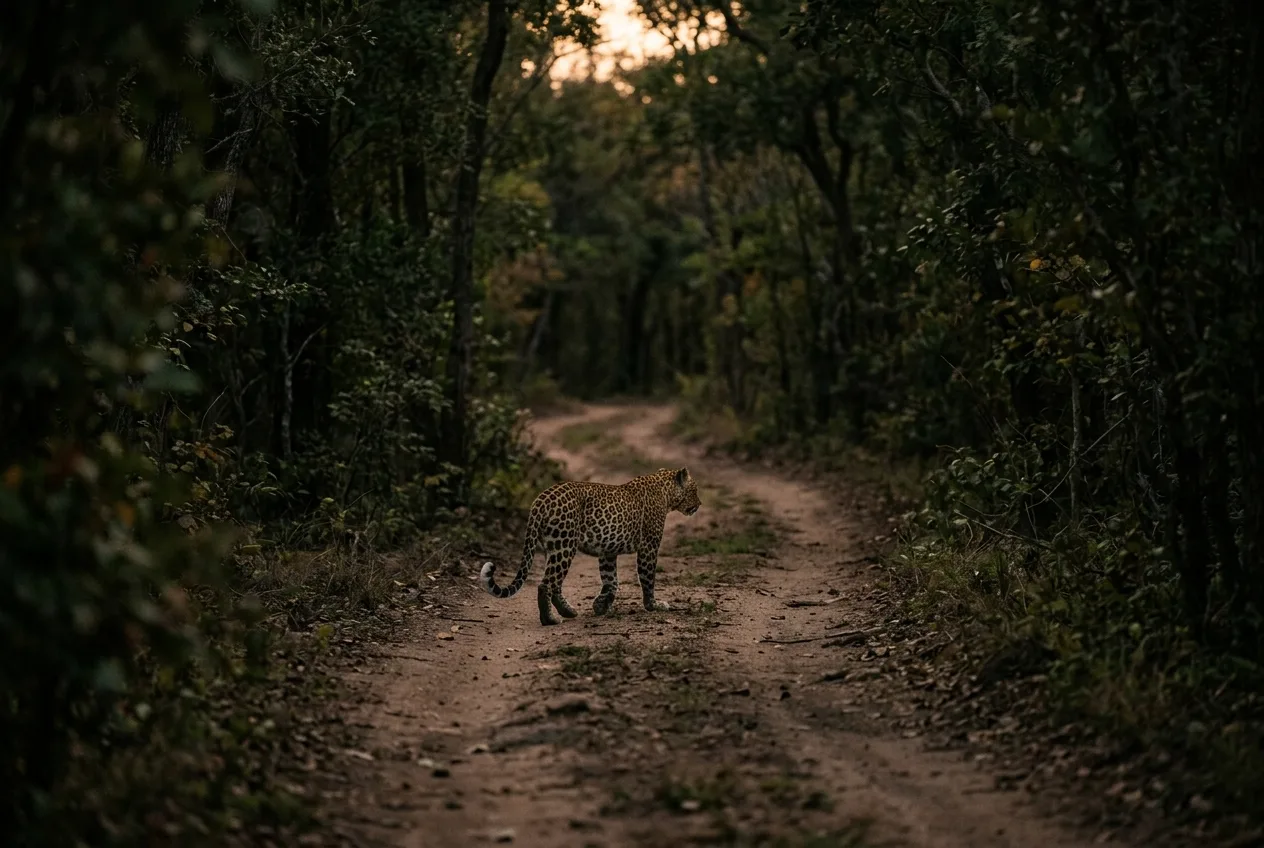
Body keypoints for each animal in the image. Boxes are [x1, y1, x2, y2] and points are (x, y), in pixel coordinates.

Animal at [479, 467, 701, 626]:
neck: (665, 491)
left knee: (555, 583)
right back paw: (550, 620)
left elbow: (611, 581)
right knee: (546, 584)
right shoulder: (649, 546)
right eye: (695, 490)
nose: (700, 504)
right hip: (565, 546)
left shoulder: (608, 552)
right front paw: (653, 605)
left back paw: (568, 611)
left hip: (553, 548)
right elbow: (647, 579)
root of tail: (539, 502)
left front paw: (600, 606)